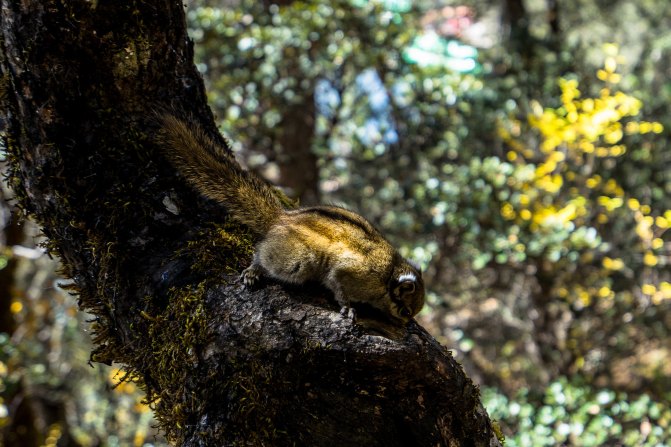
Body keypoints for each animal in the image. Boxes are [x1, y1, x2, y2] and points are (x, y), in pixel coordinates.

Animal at [157, 114, 425, 324]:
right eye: (405, 310)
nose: (407, 323)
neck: (390, 275)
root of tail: (281, 219)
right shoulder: (355, 274)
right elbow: (338, 285)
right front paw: (348, 307)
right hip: (298, 258)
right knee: (263, 254)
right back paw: (255, 269)